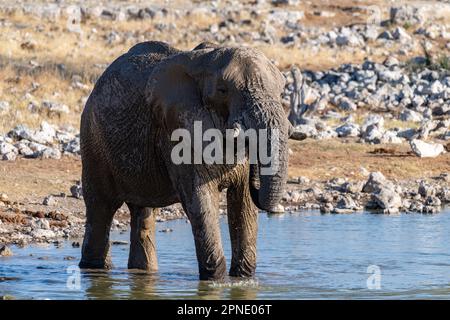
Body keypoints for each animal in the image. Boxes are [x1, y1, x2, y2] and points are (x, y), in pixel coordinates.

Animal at [78, 40, 292, 280]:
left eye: (280, 91)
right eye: (223, 91)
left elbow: (243, 204)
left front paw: (242, 279)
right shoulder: (177, 130)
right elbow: (201, 201)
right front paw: (216, 281)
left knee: (142, 212)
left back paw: (143, 272)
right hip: (93, 141)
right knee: (101, 207)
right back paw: (94, 270)